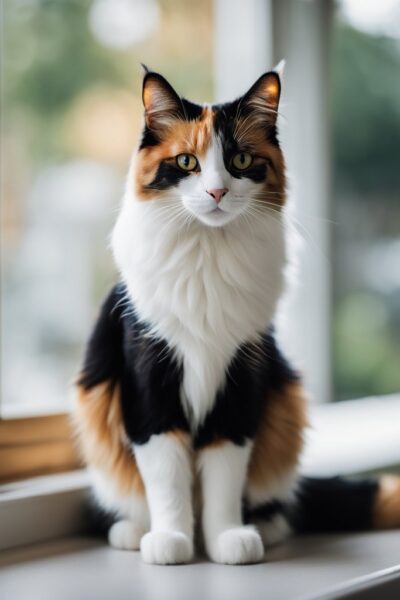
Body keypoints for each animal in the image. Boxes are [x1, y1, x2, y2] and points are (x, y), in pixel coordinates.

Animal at [74, 68, 400, 564]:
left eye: (241, 160)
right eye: (186, 162)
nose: (217, 191)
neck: (206, 258)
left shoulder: (242, 381)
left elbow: (224, 478)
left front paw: (227, 538)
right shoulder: (149, 383)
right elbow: (167, 478)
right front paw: (172, 540)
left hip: (284, 400)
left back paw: (264, 528)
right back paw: (133, 531)